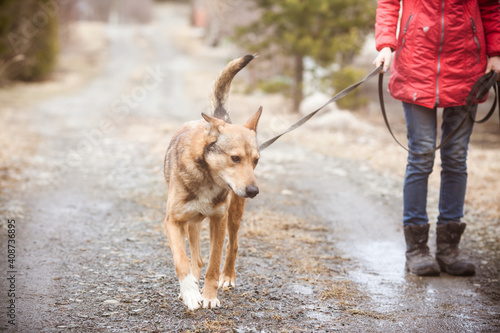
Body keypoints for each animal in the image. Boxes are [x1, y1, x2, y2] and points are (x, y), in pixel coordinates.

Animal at [164, 53, 262, 310]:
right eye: (235, 158)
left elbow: (213, 264)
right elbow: (182, 261)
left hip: (233, 215)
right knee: (196, 258)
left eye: (256, 161)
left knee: (232, 246)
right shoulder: (173, 221)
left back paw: (227, 277)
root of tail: (219, 118)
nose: (253, 190)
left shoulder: (219, 220)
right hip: (191, 222)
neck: (207, 177)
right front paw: (190, 293)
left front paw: (209, 296)